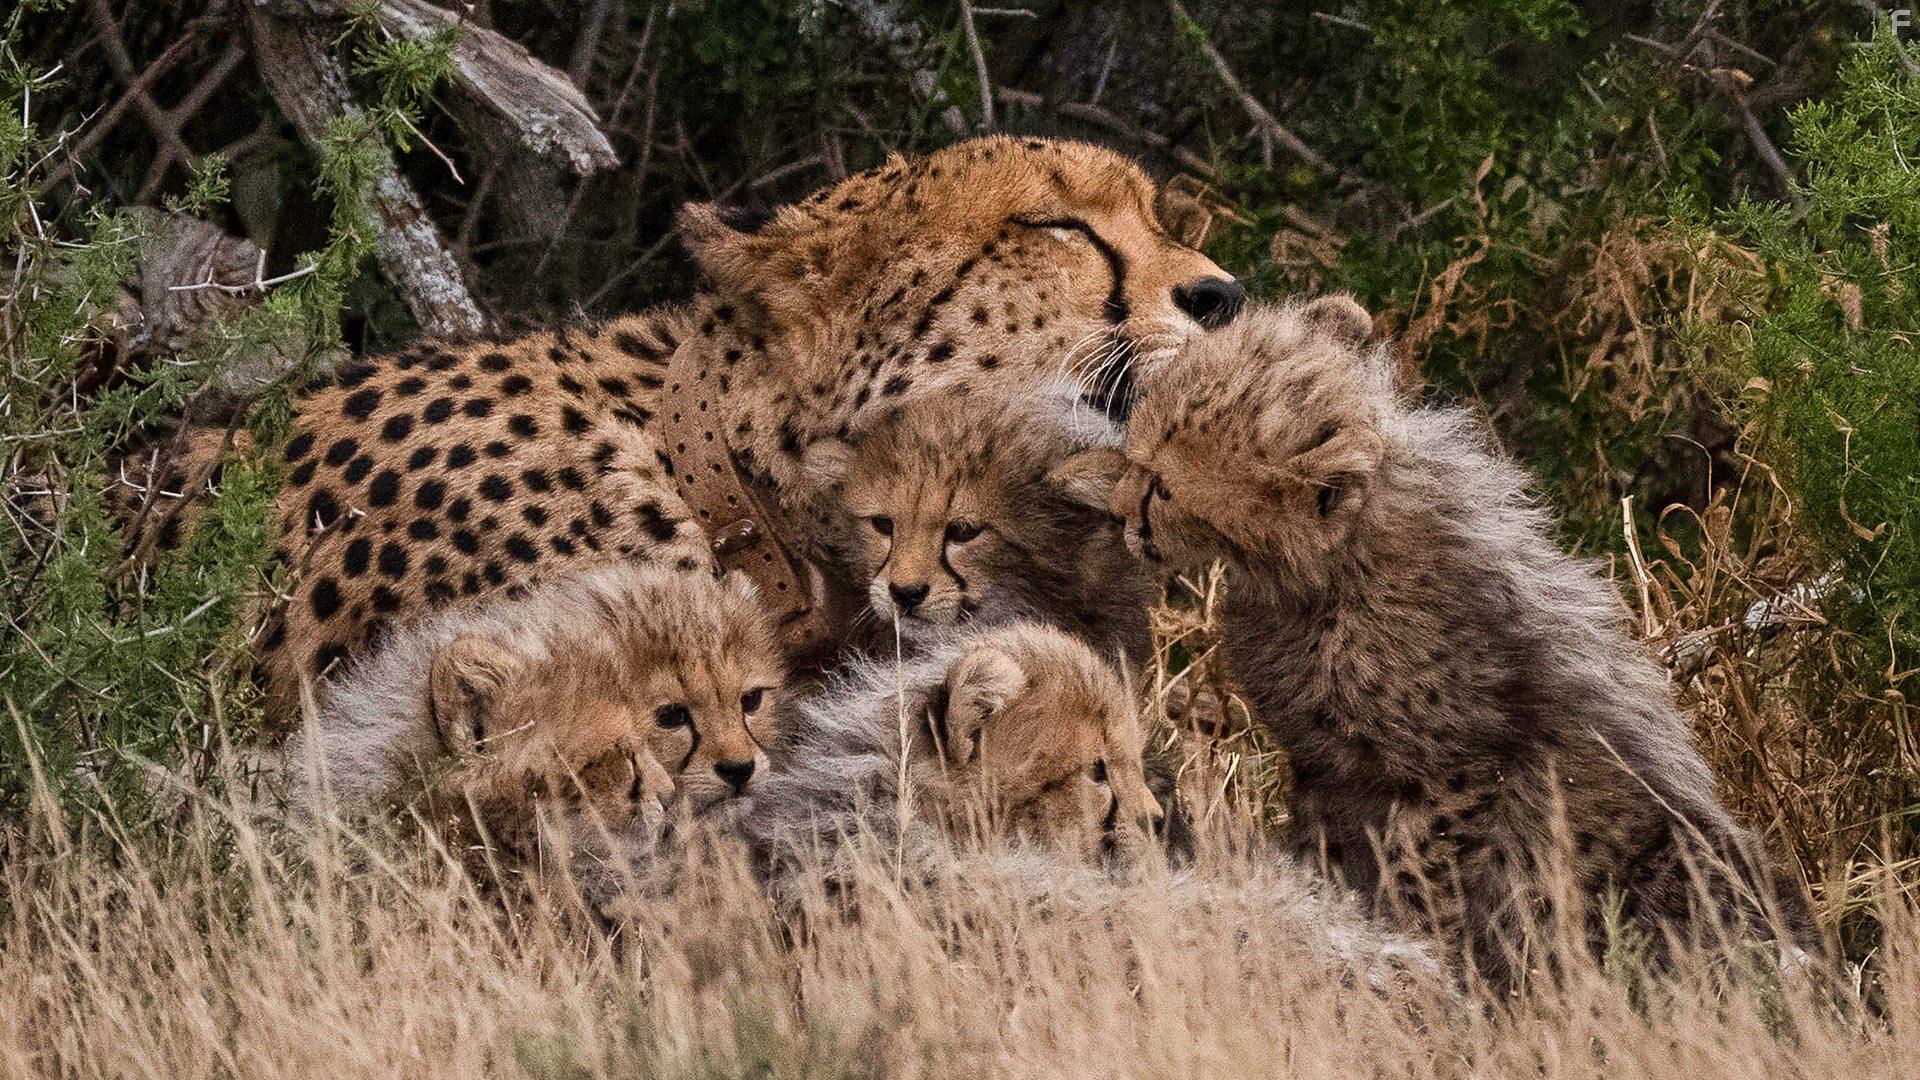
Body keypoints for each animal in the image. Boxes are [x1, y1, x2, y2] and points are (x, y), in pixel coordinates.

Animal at [1080, 296, 1820, 982]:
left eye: (1162, 486)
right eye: (1137, 456)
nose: (1116, 515)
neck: (1327, 571)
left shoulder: (1455, 770)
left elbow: (1422, 875)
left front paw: (1422, 957)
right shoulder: (1323, 763)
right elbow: (1332, 850)